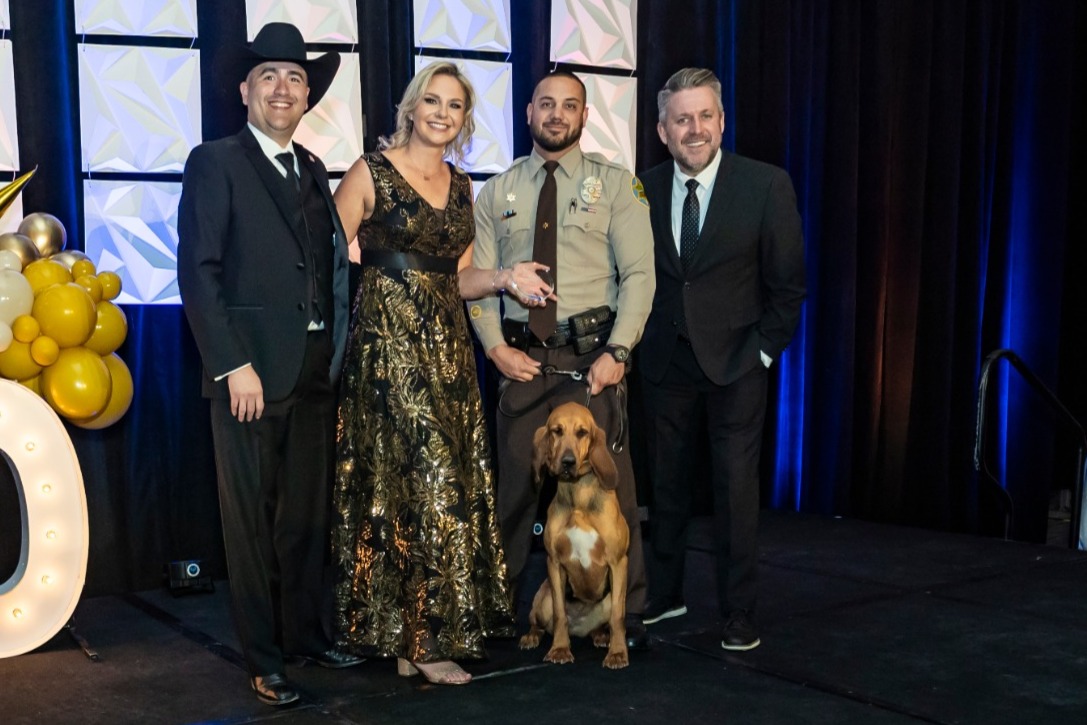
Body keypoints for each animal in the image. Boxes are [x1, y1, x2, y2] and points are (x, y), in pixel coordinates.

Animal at [519, 402, 631, 669]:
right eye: (557, 431)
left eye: (582, 432)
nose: (568, 462)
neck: (577, 497)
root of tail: (580, 630)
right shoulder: (554, 563)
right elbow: (561, 614)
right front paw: (560, 649)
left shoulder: (618, 562)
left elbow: (618, 618)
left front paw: (617, 653)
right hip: (543, 598)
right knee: (539, 622)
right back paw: (532, 636)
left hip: (608, 599)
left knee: (605, 622)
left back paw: (601, 636)